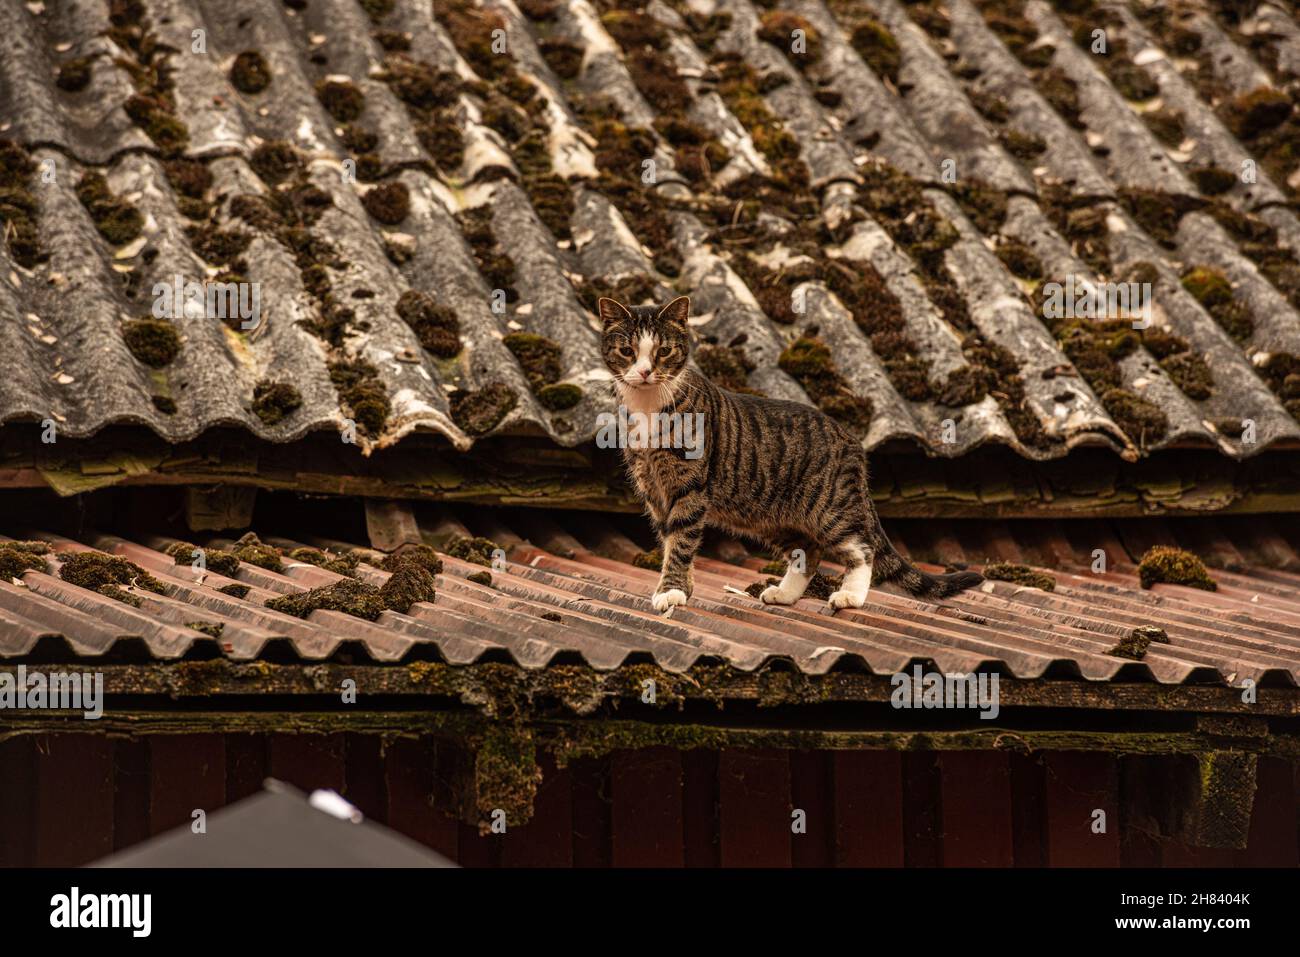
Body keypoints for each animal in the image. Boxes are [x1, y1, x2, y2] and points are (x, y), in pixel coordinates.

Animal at [598, 295, 982, 616]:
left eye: (663, 351)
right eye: (627, 351)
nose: (645, 371)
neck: (648, 406)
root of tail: (851, 441)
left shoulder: (688, 486)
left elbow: (681, 542)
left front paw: (672, 591)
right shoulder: (655, 490)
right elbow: (671, 541)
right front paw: (682, 587)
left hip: (830, 508)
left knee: (863, 547)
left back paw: (850, 596)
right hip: (772, 516)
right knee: (808, 553)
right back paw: (784, 594)